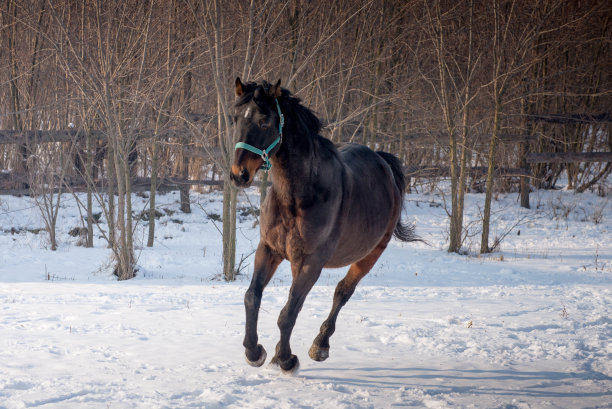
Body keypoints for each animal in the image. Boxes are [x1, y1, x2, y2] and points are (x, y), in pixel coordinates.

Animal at [228, 77, 416, 372]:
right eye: (234, 118)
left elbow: (288, 312)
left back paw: (320, 345)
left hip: (370, 254)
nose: (239, 175)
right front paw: (254, 351)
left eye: (264, 121)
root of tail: (383, 162)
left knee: (342, 292)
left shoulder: (311, 262)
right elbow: (252, 297)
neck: (298, 196)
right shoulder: (269, 249)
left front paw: (287, 360)